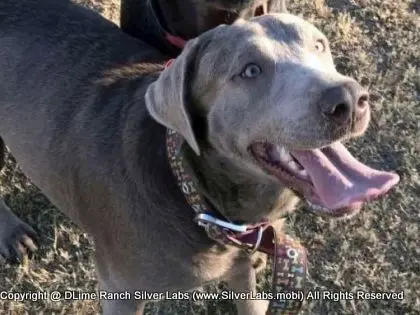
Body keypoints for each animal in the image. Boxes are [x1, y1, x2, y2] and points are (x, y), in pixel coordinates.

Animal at [0, 0, 398, 315]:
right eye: (250, 70)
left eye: (319, 45)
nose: (349, 99)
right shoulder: (119, 290)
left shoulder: (240, 267)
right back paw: (13, 234)